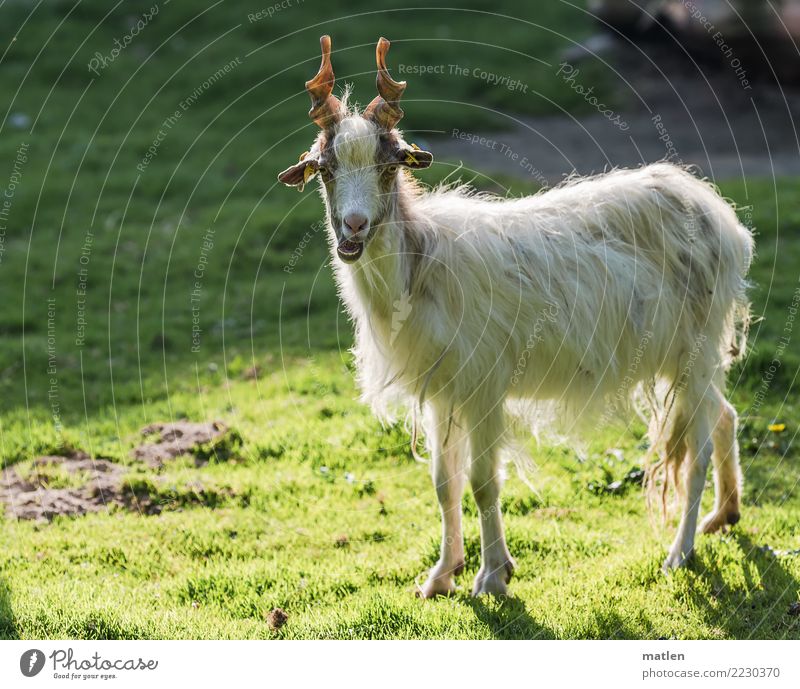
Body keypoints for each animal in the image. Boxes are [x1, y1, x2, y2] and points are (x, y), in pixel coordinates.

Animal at [282, 36, 756, 596]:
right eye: (324, 167)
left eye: (391, 163)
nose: (353, 227)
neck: (422, 265)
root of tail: (720, 216)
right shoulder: (442, 389)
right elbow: (444, 482)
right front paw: (441, 575)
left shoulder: (485, 383)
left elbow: (483, 482)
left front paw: (491, 576)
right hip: (689, 357)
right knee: (726, 415)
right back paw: (724, 516)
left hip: (697, 347)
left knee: (697, 450)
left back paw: (679, 553)